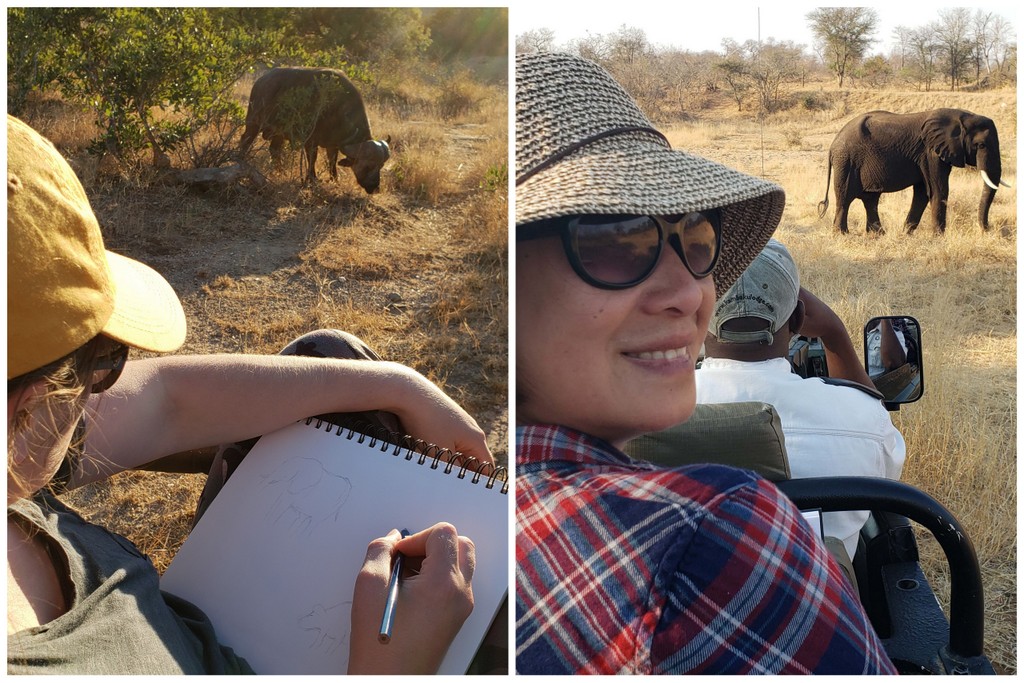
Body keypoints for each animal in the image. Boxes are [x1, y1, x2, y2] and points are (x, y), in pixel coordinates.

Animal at [237, 66, 389, 192]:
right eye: (367, 166)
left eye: (380, 166)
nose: (375, 188)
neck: (336, 109)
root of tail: (260, 82)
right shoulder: (310, 141)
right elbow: (312, 160)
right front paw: (312, 179)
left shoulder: (333, 145)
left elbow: (332, 163)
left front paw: (335, 180)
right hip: (253, 122)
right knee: (245, 140)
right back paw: (240, 159)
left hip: (279, 133)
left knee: (274, 150)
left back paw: (280, 172)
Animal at [815, 107, 1007, 233]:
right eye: (980, 145)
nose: (987, 229)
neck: (962, 116)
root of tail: (832, 145)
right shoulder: (931, 152)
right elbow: (938, 190)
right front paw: (938, 237)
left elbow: (922, 193)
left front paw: (906, 233)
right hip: (846, 161)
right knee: (845, 198)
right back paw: (842, 234)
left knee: (870, 199)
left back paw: (878, 234)